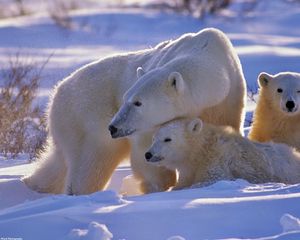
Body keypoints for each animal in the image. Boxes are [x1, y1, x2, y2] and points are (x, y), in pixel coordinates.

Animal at [24, 27, 246, 195]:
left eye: (138, 102)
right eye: (125, 98)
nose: (113, 127)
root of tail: (57, 92)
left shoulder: (227, 101)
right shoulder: (147, 127)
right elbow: (145, 151)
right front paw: (159, 183)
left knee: (58, 162)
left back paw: (32, 183)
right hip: (85, 116)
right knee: (92, 161)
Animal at [146, 117, 300, 188]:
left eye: (167, 139)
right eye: (153, 138)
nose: (148, 154)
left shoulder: (218, 160)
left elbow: (213, 179)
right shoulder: (188, 169)